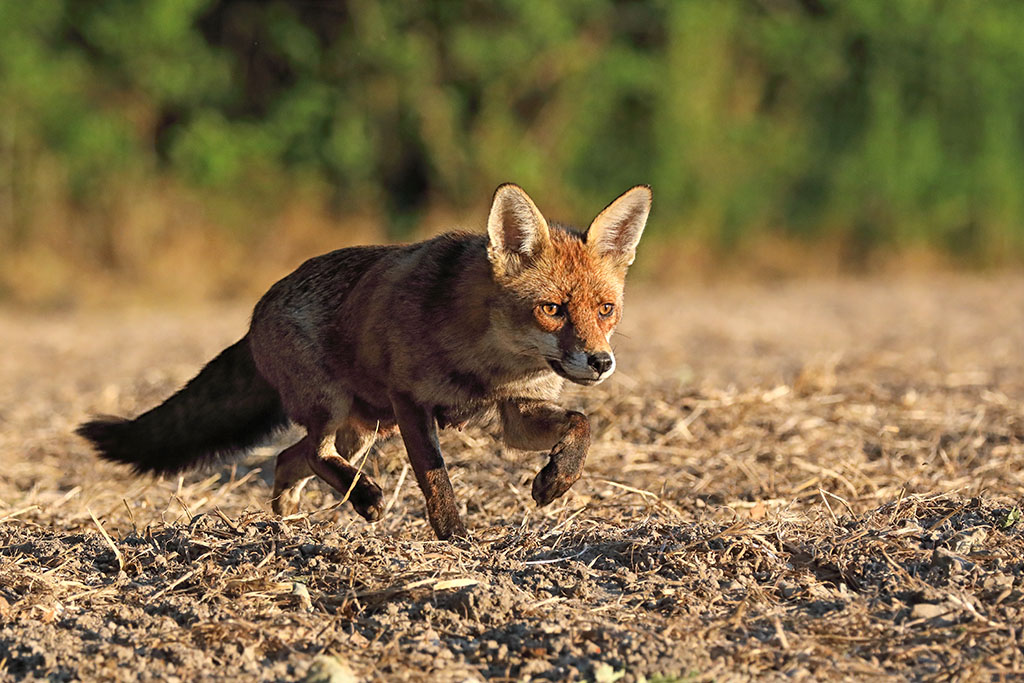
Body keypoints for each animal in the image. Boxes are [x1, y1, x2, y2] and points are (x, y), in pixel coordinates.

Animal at [81, 183, 655, 540]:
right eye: (552, 309)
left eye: (605, 309)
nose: (600, 361)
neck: (490, 363)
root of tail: (256, 312)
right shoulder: (411, 403)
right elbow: (436, 479)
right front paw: (457, 539)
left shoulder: (515, 410)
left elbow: (582, 424)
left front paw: (556, 481)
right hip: (337, 409)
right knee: (312, 454)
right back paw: (360, 499)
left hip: (362, 431)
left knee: (289, 457)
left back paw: (285, 524)